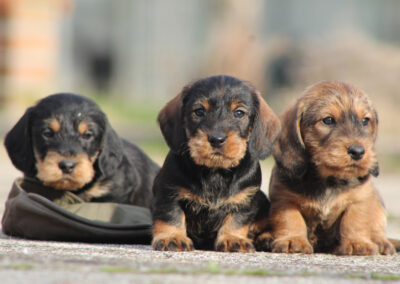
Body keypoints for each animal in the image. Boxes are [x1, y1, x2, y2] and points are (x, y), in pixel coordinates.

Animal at [152, 75, 280, 251]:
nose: (216, 139)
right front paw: (172, 237)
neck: (215, 171)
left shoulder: (244, 200)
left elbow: (236, 221)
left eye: (239, 113)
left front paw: (233, 238)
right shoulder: (169, 193)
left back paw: (266, 238)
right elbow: (171, 217)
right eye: (199, 111)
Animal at [258, 80, 398, 255]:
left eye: (365, 121)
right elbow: (291, 219)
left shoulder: (360, 198)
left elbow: (354, 220)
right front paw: (293, 240)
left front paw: (357, 243)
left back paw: (382, 242)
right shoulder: (285, 199)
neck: (328, 179)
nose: (358, 151)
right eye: (328, 120)